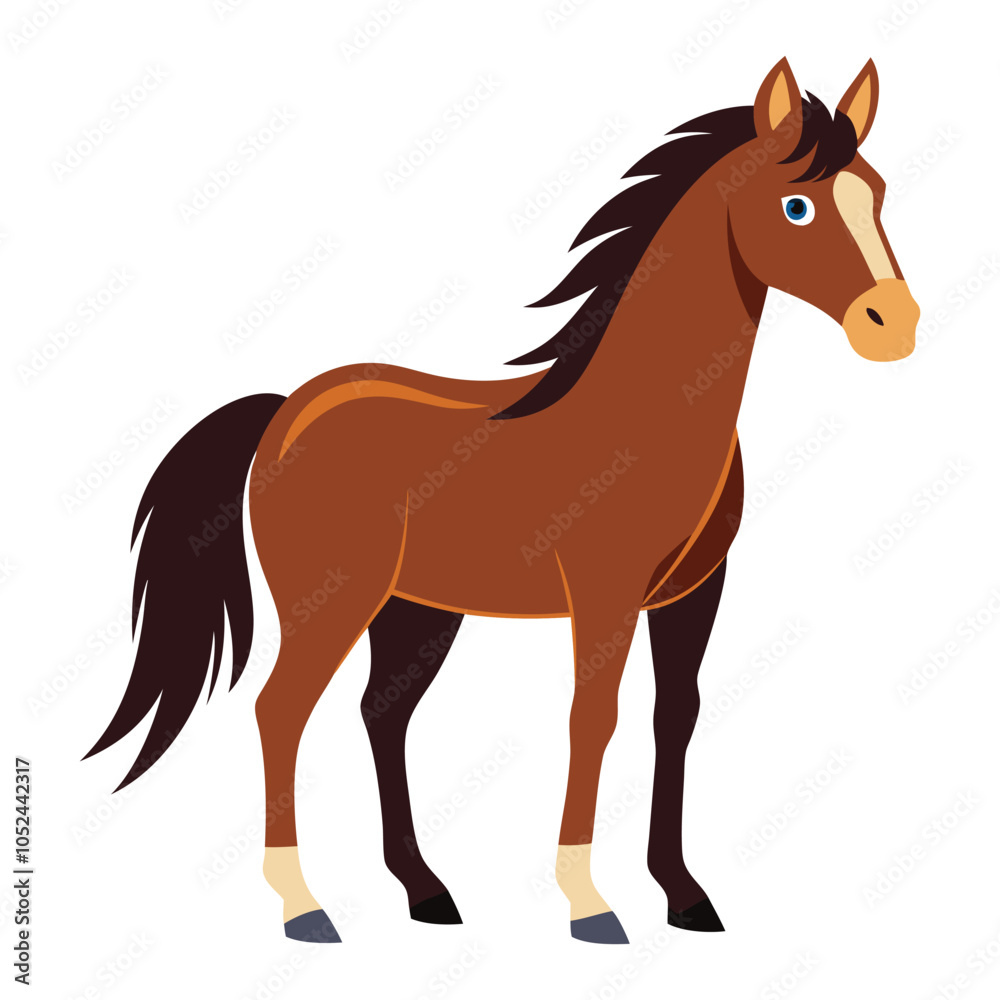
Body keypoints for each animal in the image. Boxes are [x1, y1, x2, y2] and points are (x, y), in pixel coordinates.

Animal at [85, 58, 919, 945]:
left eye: (878, 191)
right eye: (797, 205)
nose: (894, 325)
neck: (650, 411)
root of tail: (285, 411)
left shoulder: (692, 592)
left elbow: (676, 716)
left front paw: (684, 895)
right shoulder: (604, 593)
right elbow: (594, 718)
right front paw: (589, 903)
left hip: (415, 608)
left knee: (381, 714)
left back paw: (424, 892)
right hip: (331, 603)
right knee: (282, 712)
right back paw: (304, 906)